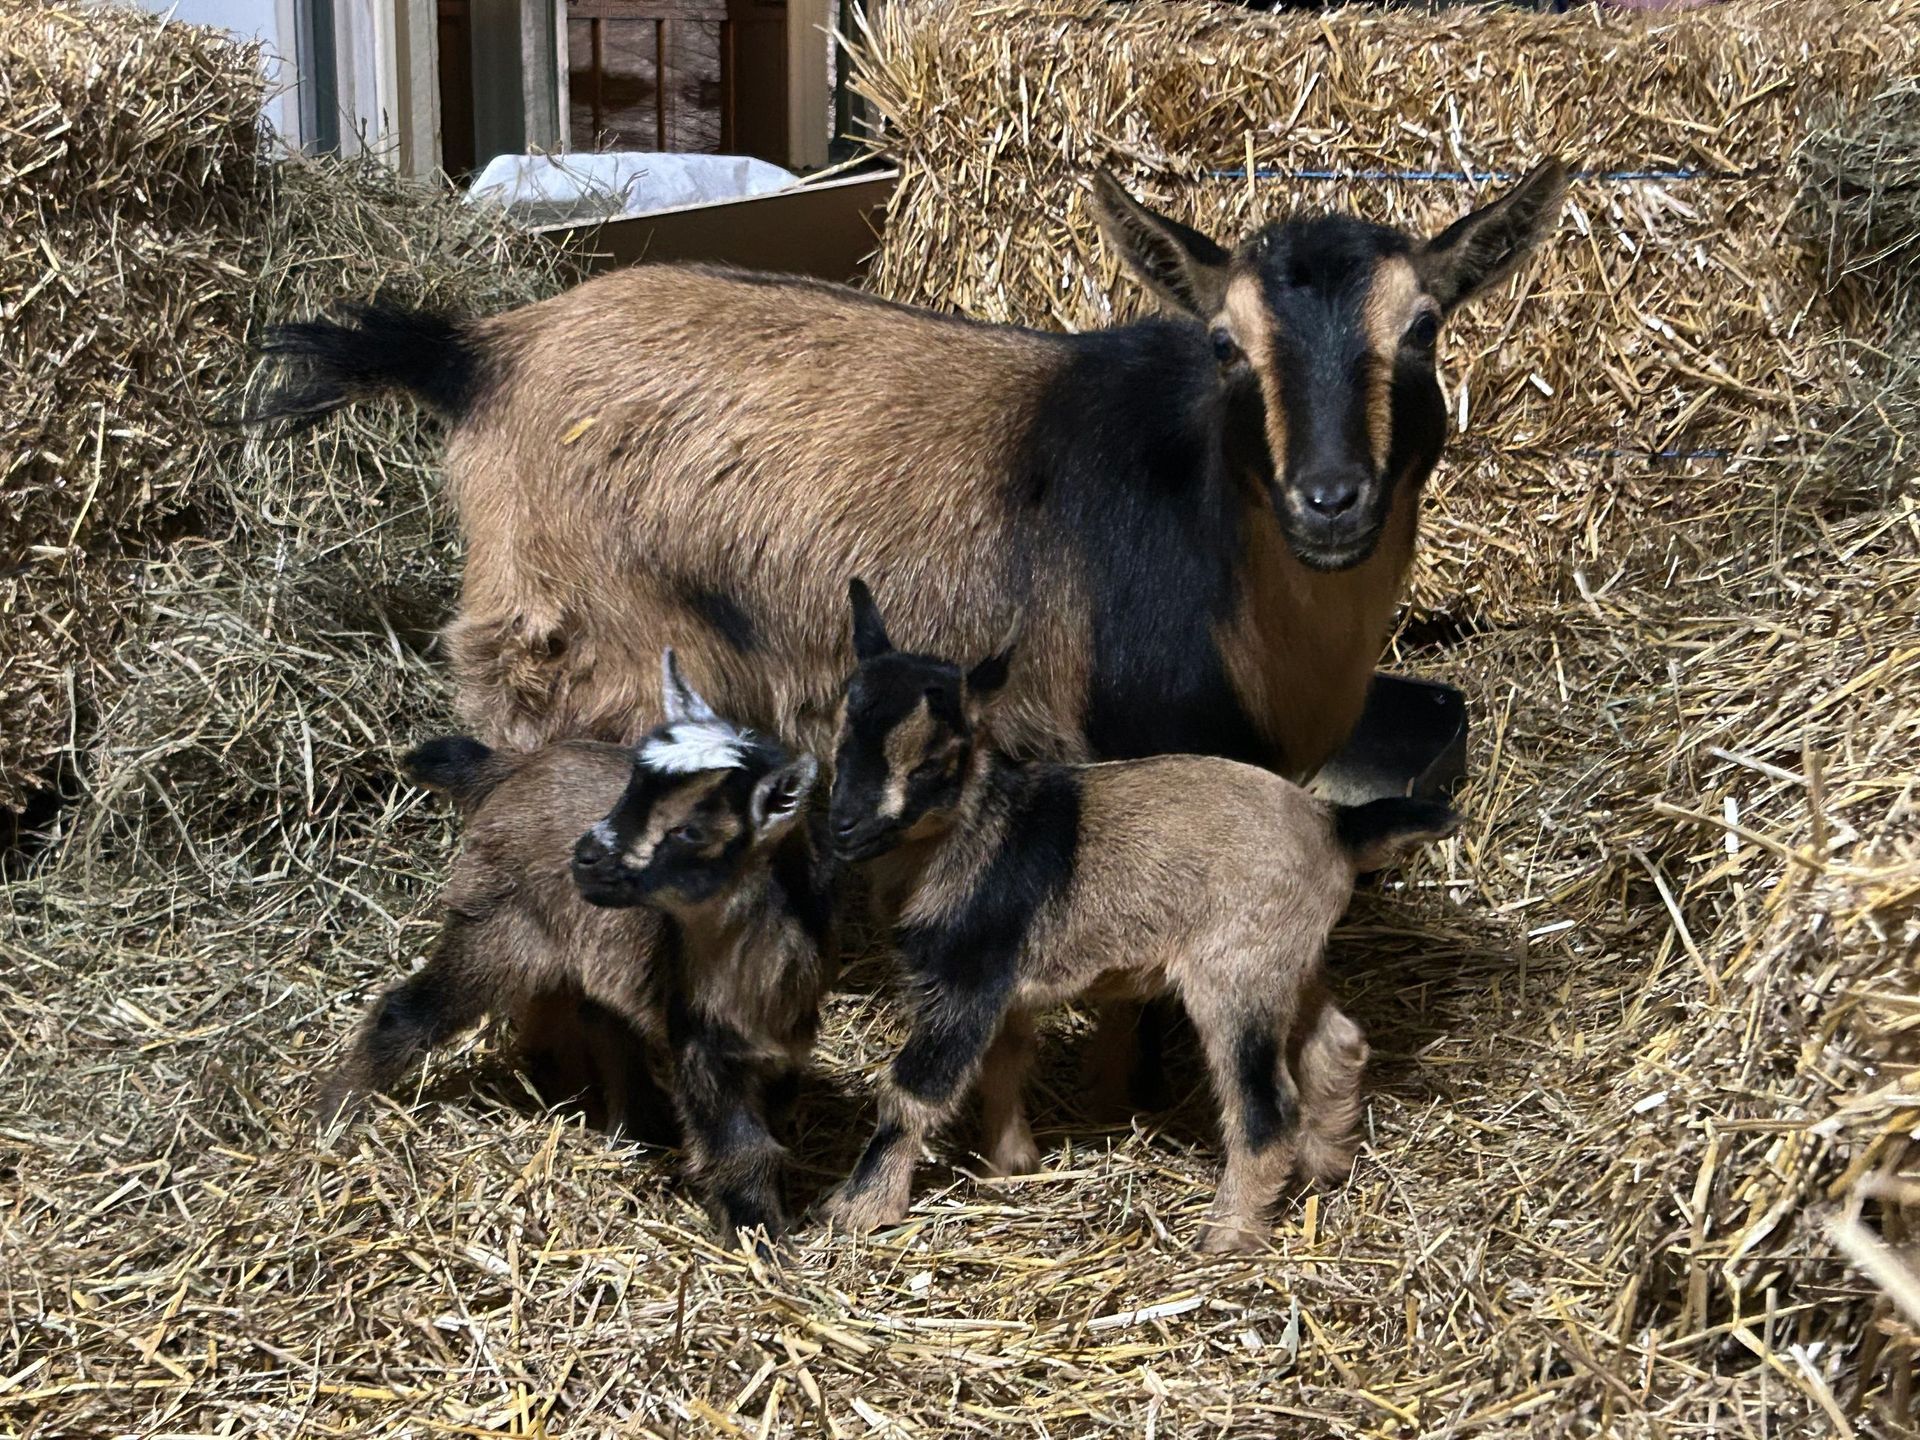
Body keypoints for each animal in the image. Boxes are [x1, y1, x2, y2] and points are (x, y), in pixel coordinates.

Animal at [822, 580, 1459, 1252]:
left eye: (930, 763)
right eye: (840, 739)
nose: (844, 827)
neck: (975, 829)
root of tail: (1335, 825)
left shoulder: (967, 976)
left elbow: (916, 1088)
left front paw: (859, 1209)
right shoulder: (1000, 989)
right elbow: (1003, 1062)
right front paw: (1009, 1167)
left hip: (1234, 975)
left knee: (1265, 1110)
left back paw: (1227, 1236)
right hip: (1283, 956)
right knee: (1335, 1042)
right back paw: (1325, 1164)